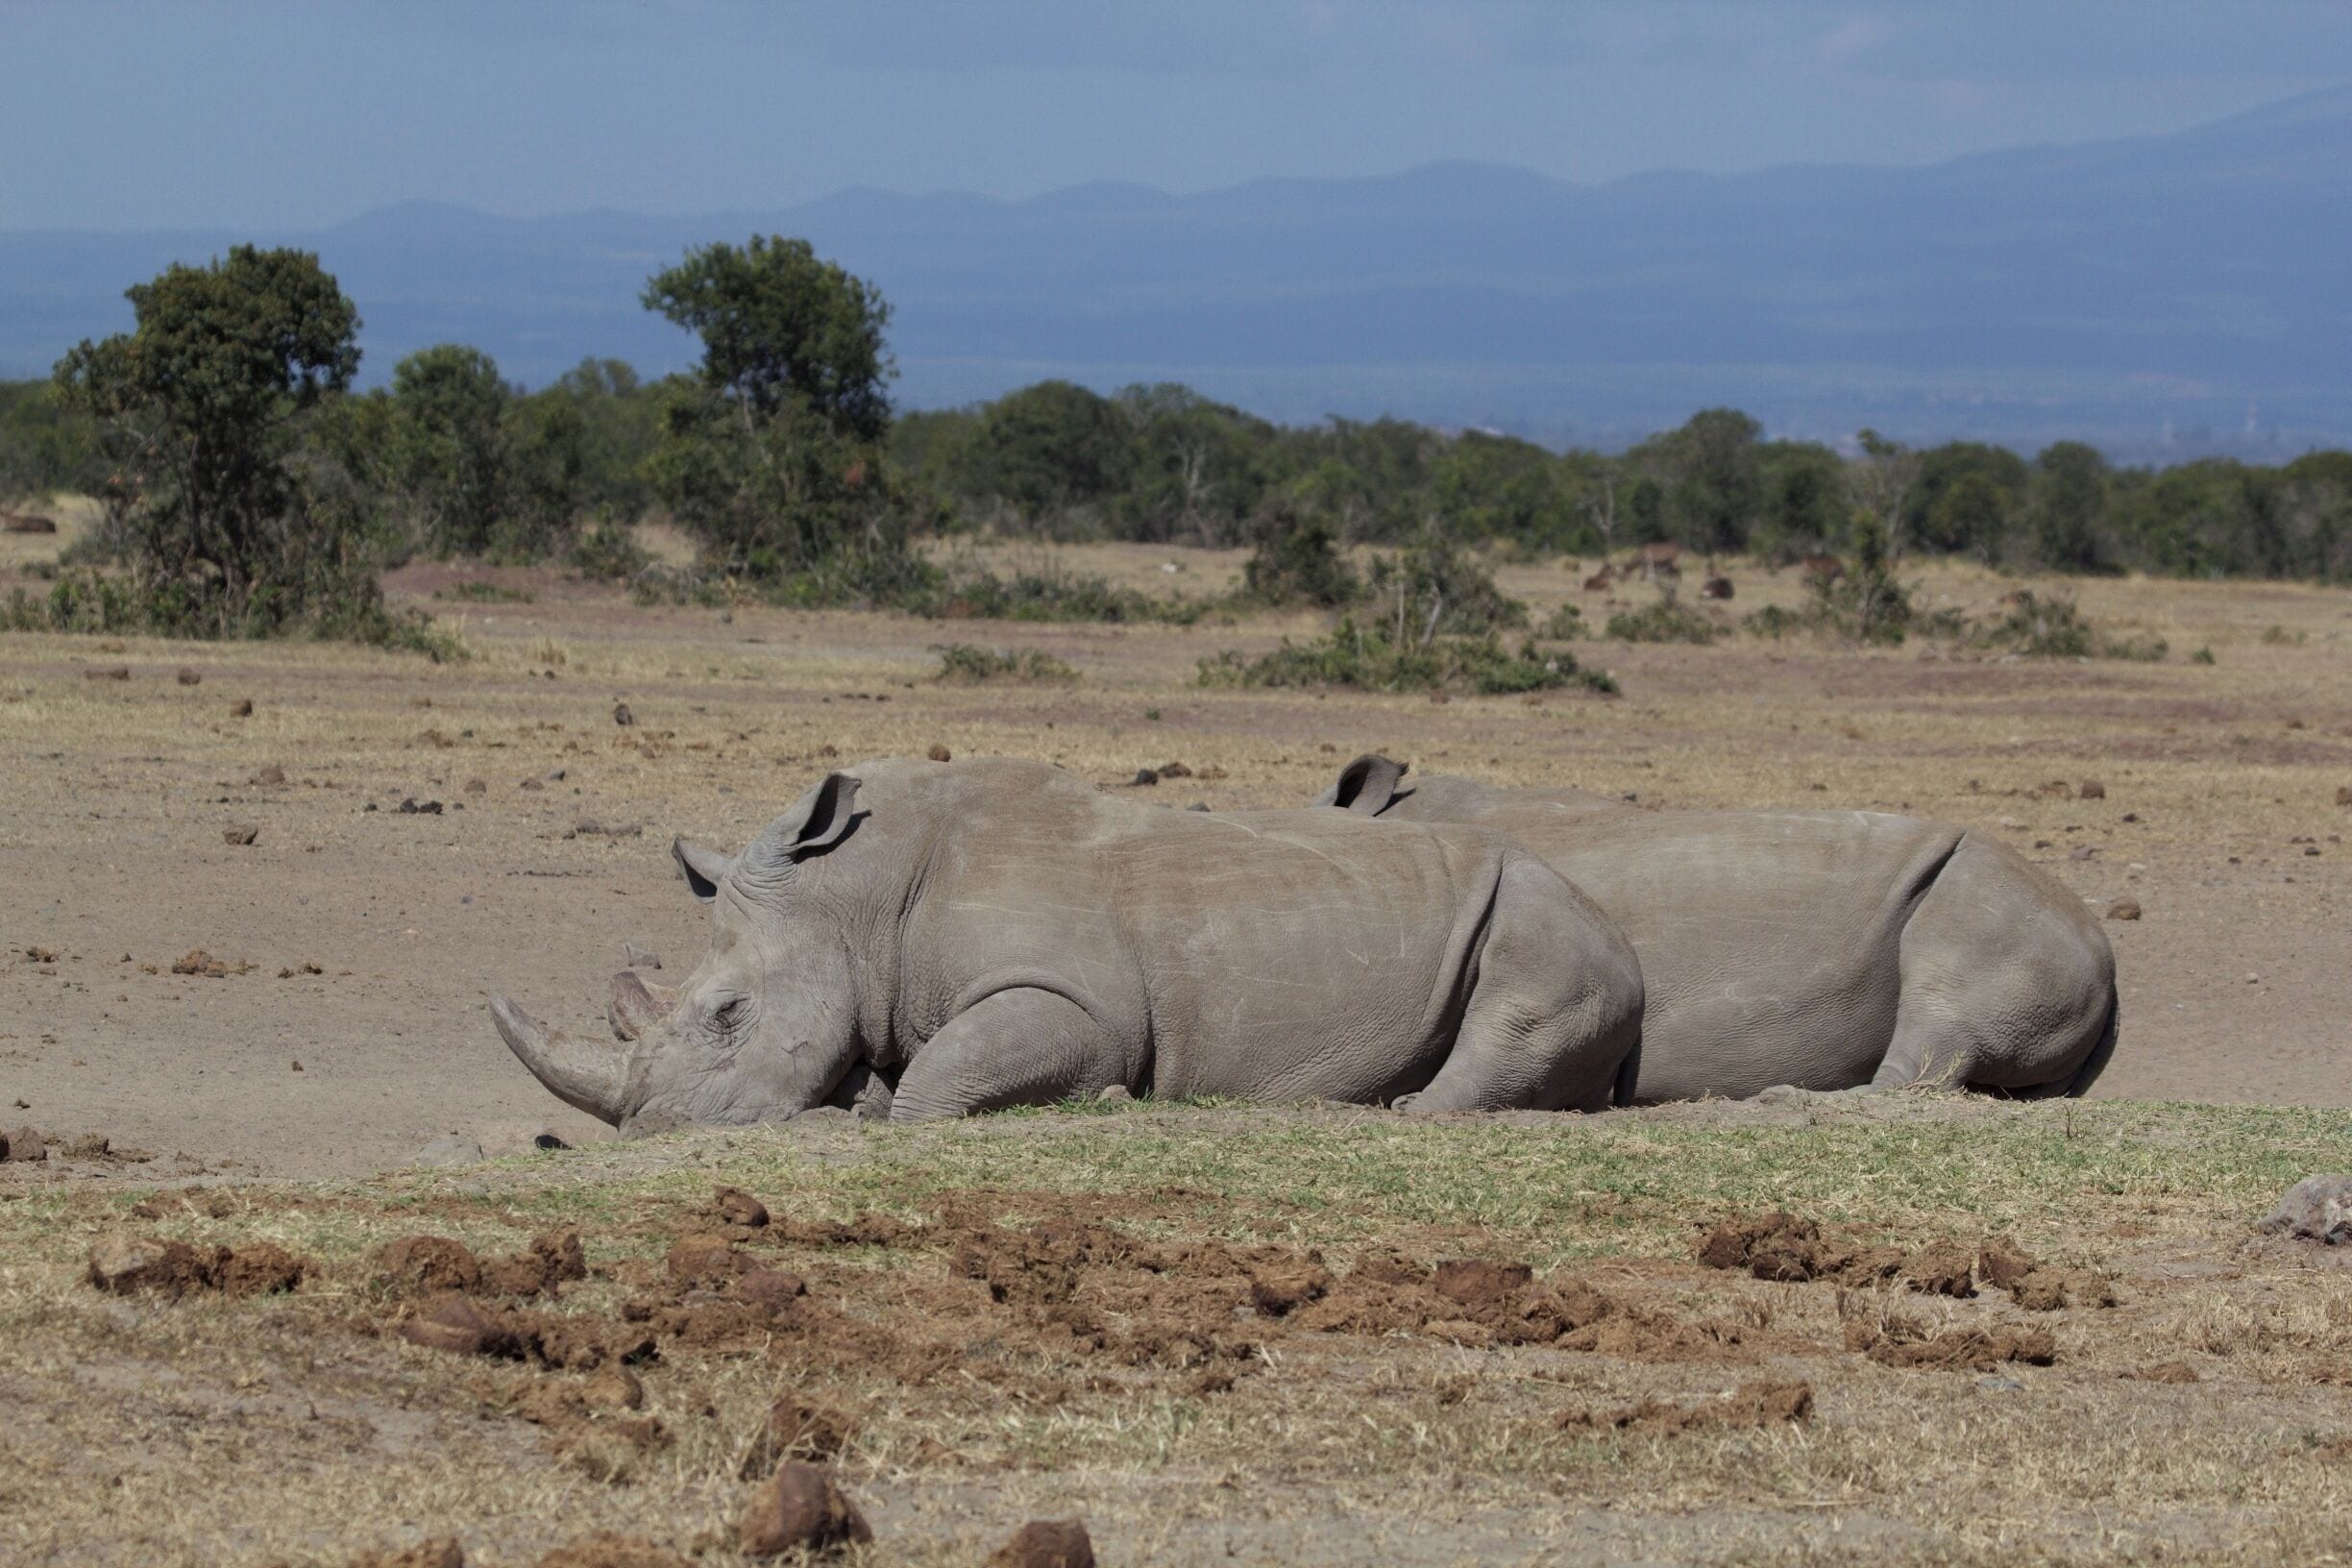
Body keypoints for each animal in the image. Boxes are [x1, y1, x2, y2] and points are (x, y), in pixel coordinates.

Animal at [493, 756, 1645, 1127]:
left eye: (727, 1016)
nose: (653, 1129)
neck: (854, 900)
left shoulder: (1074, 1002)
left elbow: (940, 1082)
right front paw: (856, 1096)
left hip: (1547, 909)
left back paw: (1406, 1112)